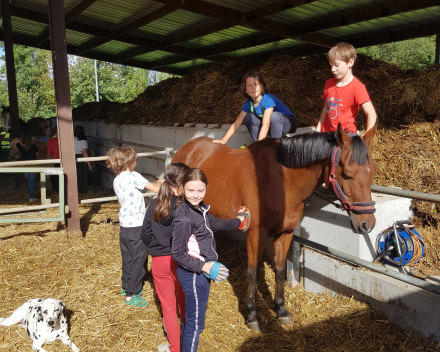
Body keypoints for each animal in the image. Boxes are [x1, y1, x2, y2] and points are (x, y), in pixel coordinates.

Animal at [172, 125, 374, 332]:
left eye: (372, 172)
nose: (367, 223)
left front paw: (281, 310)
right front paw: (252, 314)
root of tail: (187, 147)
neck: (279, 182)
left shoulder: (286, 233)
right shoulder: (255, 234)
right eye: (347, 174)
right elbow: (253, 272)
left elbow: (279, 268)